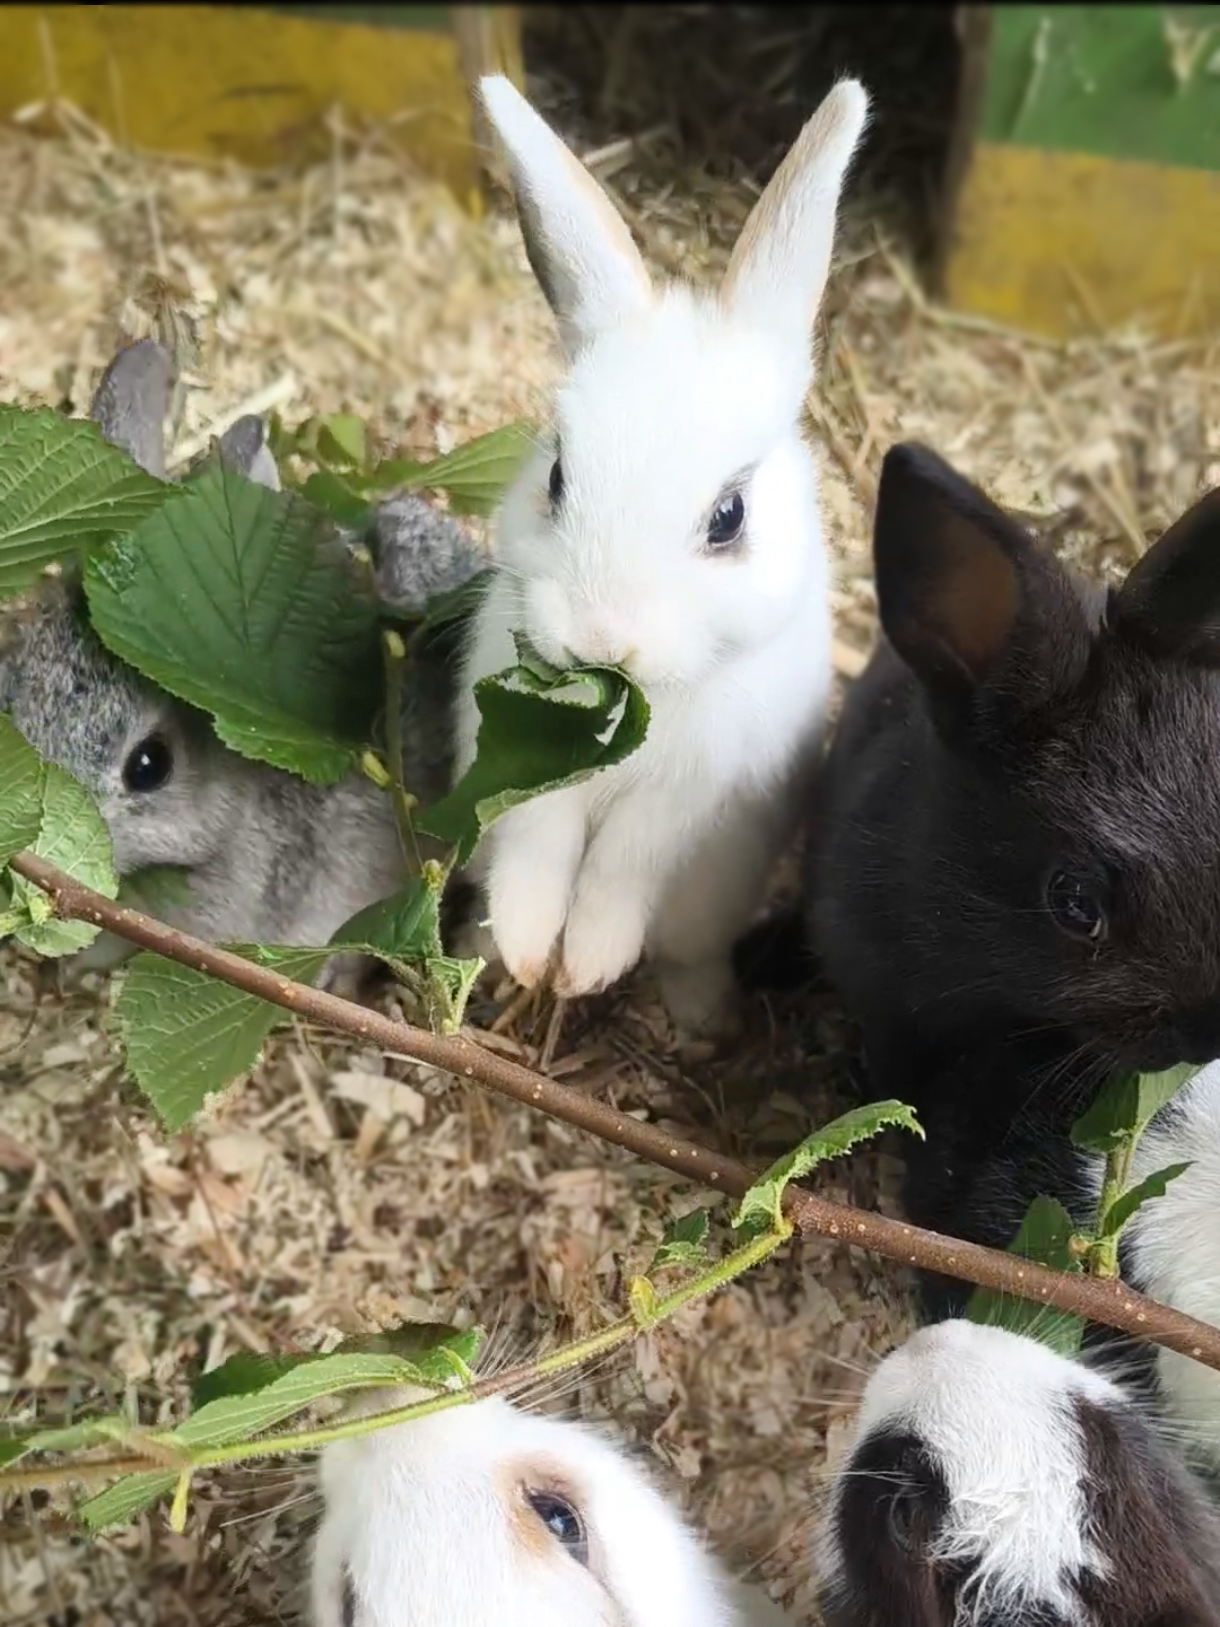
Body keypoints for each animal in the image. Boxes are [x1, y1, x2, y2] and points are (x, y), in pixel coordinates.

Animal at [451, 74, 870, 1037]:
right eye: (557, 473)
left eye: (729, 516)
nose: (602, 641)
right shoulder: (527, 772)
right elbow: (537, 846)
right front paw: (529, 952)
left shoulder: (686, 799)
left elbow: (624, 869)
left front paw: (585, 966)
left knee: (687, 951)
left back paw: (703, 1026)